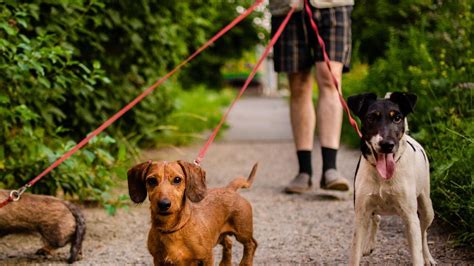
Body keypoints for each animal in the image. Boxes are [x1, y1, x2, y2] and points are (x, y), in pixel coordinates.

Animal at [128, 160, 258, 266]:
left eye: (177, 179)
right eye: (151, 180)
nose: (164, 204)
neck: (172, 229)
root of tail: (230, 189)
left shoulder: (207, 257)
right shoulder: (158, 260)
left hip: (242, 232)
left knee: (251, 244)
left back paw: (246, 263)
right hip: (218, 235)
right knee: (229, 243)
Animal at [346, 92, 436, 264]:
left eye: (397, 118)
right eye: (371, 117)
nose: (387, 144)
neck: (383, 177)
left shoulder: (410, 217)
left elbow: (417, 252)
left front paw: (422, 257)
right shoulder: (361, 214)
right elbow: (354, 254)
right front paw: (363, 248)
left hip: (427, 208)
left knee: (423, 233)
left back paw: (428, 257)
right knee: (377, 218)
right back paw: (368, 245)